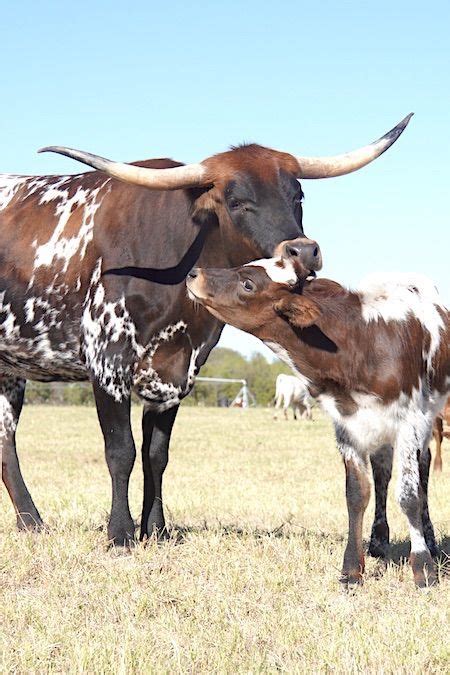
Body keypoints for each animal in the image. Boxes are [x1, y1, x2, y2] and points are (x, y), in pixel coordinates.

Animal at [0, 116, 412, 548]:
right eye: (237, 201)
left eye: (297, 195)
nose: (303, 252)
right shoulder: (108, 362)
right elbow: (121, 451)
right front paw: (121, 534)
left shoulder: (176, 370)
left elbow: (156, 455)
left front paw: (157, 529)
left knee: (5, 442)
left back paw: (30, 522)